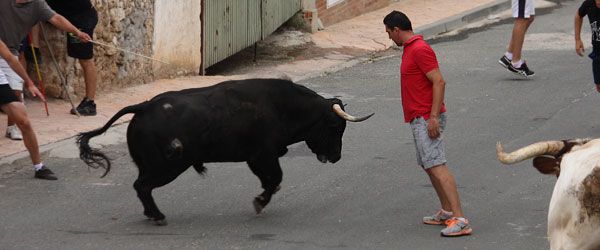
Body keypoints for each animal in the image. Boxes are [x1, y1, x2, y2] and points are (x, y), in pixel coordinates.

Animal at [77, 78, 372, 225]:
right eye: (335, 126)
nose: (336, 156)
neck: (281, 106)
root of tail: (144, 106)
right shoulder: (262, 155)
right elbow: (275, 179)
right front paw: (259, 202)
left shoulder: (257, 158)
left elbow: (271, 181)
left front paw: (261, 199)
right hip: (166, 167)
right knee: (142, 186)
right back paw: (158, 216)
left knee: (142, 186)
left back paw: (152, 214)